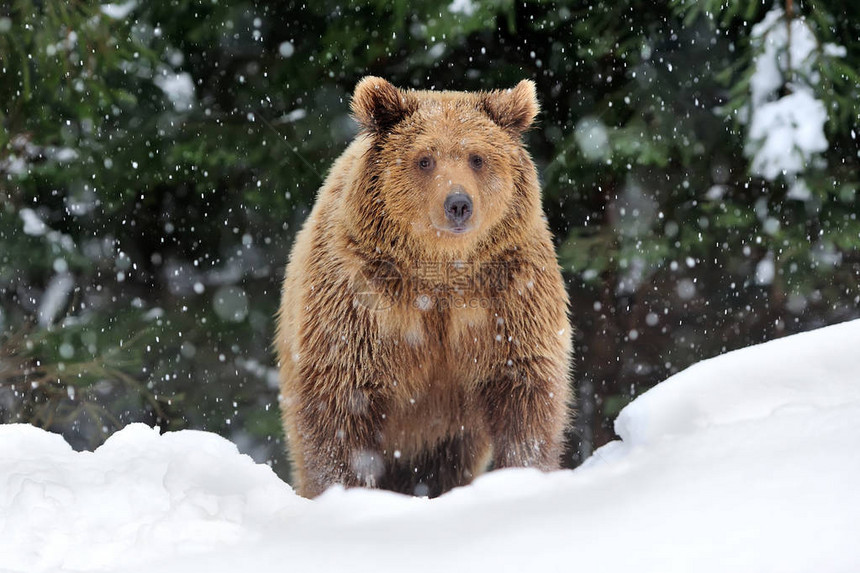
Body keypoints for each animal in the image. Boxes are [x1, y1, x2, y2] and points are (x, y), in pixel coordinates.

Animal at [276, 76, 572, 496]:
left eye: (477, 158)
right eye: (424, 159)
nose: (458, 204)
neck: (440, 275)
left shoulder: (507, 297)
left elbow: (525, 394)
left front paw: (523, 475)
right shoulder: (361, 300)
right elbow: (341, 408)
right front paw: (347, 490)